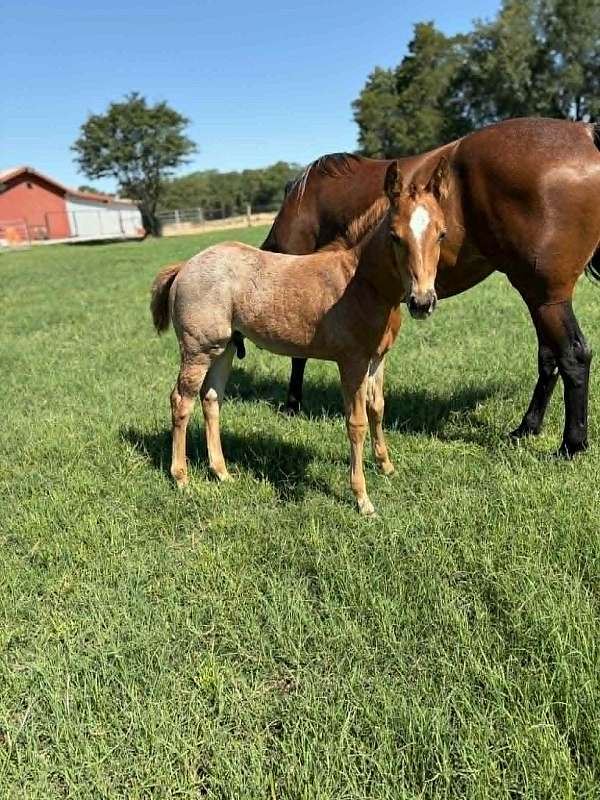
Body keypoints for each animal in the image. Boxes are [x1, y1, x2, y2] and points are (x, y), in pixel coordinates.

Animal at [150, 157, 450, 515]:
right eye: (395, 236)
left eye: (442, 234)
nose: (422, 302)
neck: (360, 282)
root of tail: (185, 266)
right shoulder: (352, 363)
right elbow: (356, 423)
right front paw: (362, 499)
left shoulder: (378, 359)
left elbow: (377, 408)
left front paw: (387, 466)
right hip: (197, 349)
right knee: (181, 401)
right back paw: (181, 478)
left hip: (223, 348)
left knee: (211, 399)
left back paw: (222, 473)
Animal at [263, 117, 600, 457]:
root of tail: (585, 134)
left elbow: (299, 352)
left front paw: (292, 405)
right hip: (539, 296)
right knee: (549, 358)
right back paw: (526, 428)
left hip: (546, 298)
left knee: (574, 355)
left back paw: (571, 445)